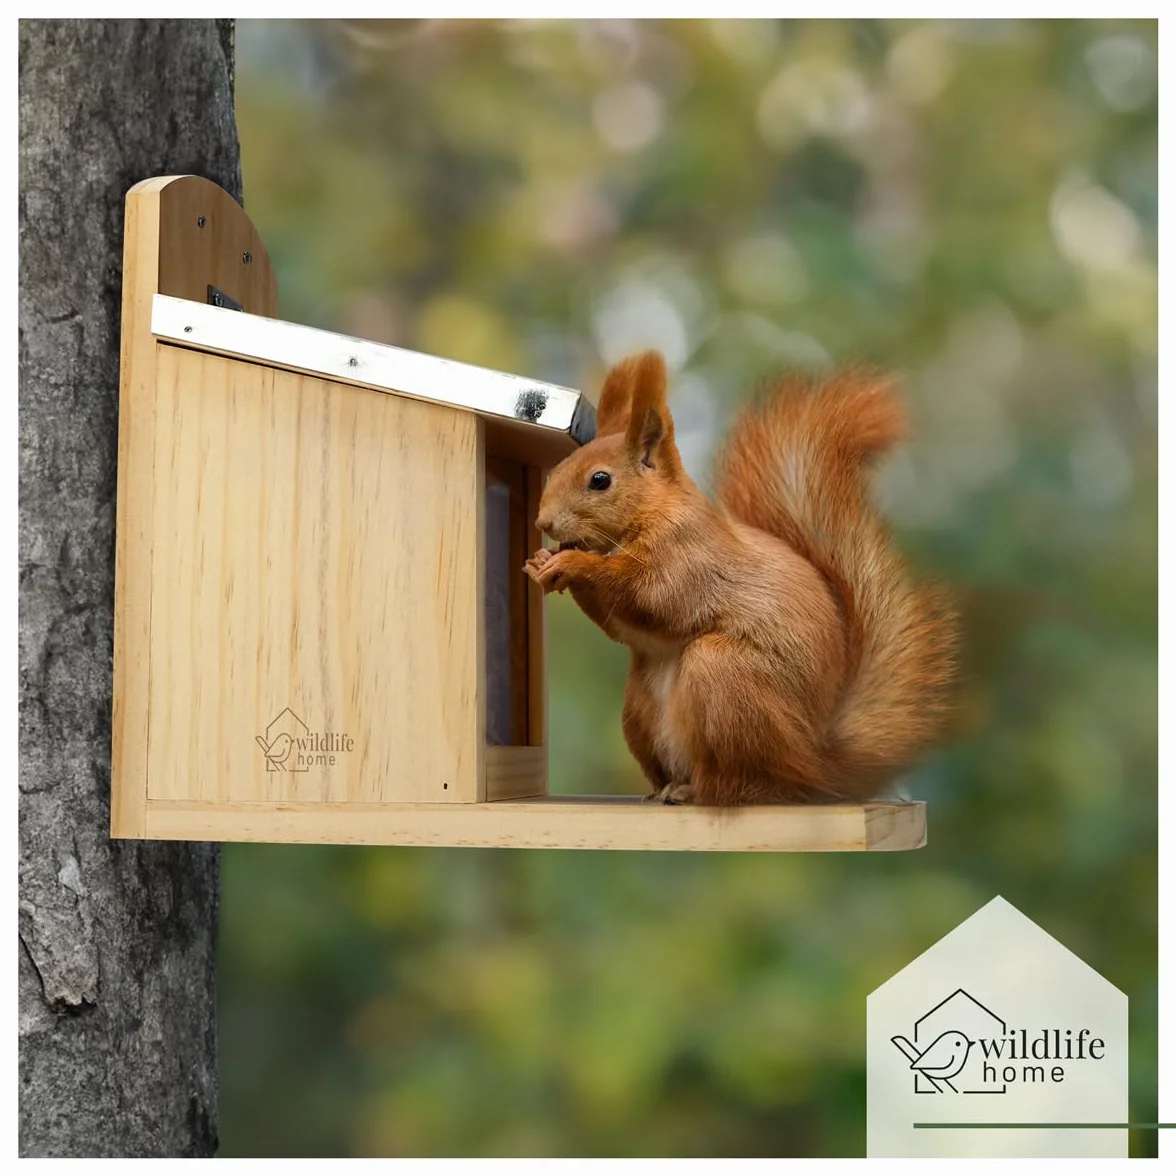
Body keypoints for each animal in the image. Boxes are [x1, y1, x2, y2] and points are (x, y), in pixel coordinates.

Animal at [523, 350, 957, 806]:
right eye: (557, 469)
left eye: (600, 480)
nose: (543, 523)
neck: (651, 513)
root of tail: (814, 765)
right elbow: (620, 625)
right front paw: (542, 562)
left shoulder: (691, 558)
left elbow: (653, 597)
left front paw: (574, 565)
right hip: (639, 709)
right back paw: (663, 790)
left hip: (725, 675)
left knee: (743, 785)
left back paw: (698, 791)